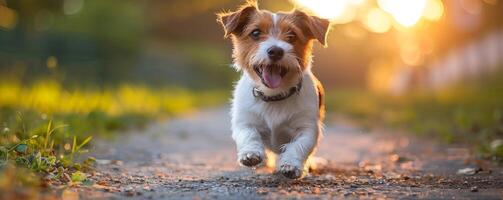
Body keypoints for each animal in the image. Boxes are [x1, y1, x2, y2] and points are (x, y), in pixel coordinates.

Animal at [217, 0, 330, 180]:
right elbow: (248, 134)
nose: (276, 51)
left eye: (292, 36)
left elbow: (299, 145)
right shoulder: (245, 121)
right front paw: (250, 154)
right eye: (255, 33)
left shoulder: (307, 128)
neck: (274, 96)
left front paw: (291, 164)